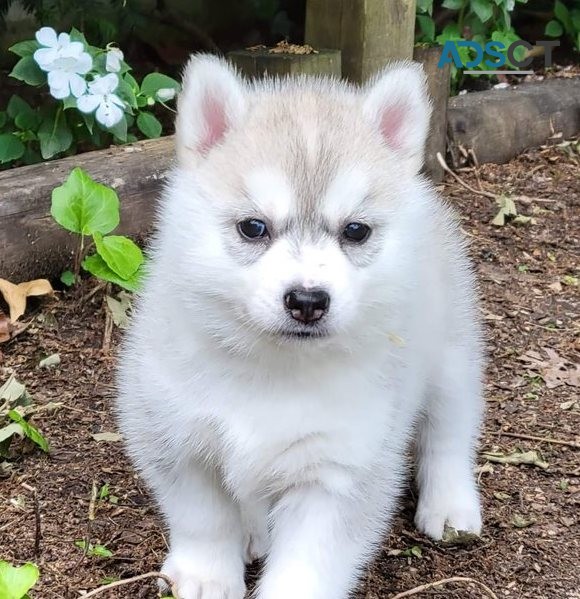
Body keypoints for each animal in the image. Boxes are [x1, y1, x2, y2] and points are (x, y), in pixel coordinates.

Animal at [115, 55, 482, 599]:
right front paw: (207, 575)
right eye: (253, 227)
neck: (273, 370)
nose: (308, 300)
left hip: (451, 360)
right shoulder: (172, 434)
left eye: (356, 231)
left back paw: (451, 504)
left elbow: (307, 565)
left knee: (449, 434)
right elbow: (204, 518)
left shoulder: (339, 470)